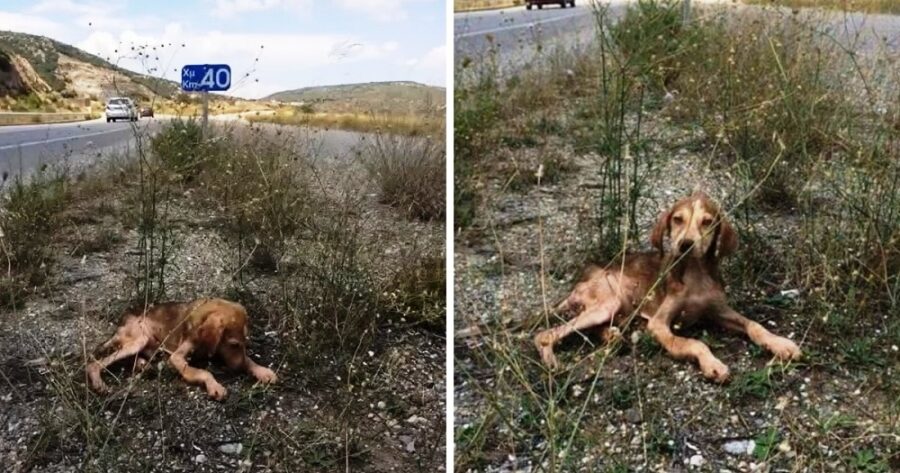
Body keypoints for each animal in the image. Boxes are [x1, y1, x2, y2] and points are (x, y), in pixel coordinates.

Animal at [89, 298, 278, 398]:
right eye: (233, 344)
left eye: (245, 343)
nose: (238, 369)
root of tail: (123, 322)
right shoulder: (177, 357)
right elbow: (204, 372)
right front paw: (214, 385)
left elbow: (249, 359)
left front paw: (262, 371)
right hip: (139, 339)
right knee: (95, 363)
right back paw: (98, 382)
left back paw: (143, 365)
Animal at [536, 191, 800, 380]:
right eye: (677, 219)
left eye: (707, 222)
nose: (685, 244)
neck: (696, 276)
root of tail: (582, 281)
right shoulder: (658, 324)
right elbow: (694, 342)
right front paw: (712, 364)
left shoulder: (719, 311)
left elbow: (755, 325)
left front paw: (781, 344)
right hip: (609, 301)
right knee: (545, 334)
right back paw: (552, 362)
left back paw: (612, 336)